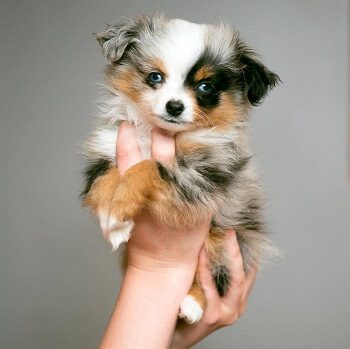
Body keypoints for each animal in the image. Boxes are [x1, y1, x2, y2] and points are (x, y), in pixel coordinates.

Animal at [81, 13, 278, 324]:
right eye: (154, 77)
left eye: (205, 87)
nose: (174, 106)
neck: (159, 134)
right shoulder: (107, 148)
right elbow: (105, 180)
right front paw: (112, 220)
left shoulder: (202, 173)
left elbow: (148, 167)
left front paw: (118, 208)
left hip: (231, 237)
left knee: (215, 271)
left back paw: (193, 303)